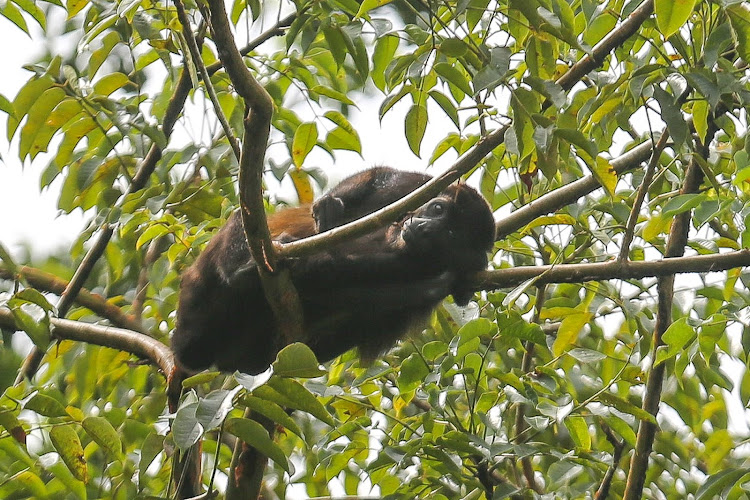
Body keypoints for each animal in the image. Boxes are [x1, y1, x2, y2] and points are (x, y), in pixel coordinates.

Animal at [173, 168, 496, 376]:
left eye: (450, 235)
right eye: (438, 209)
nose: (425, 227)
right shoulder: (416, 189)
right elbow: (385, 176)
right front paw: (330, 205)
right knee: (245, 216)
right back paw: (239, 268)